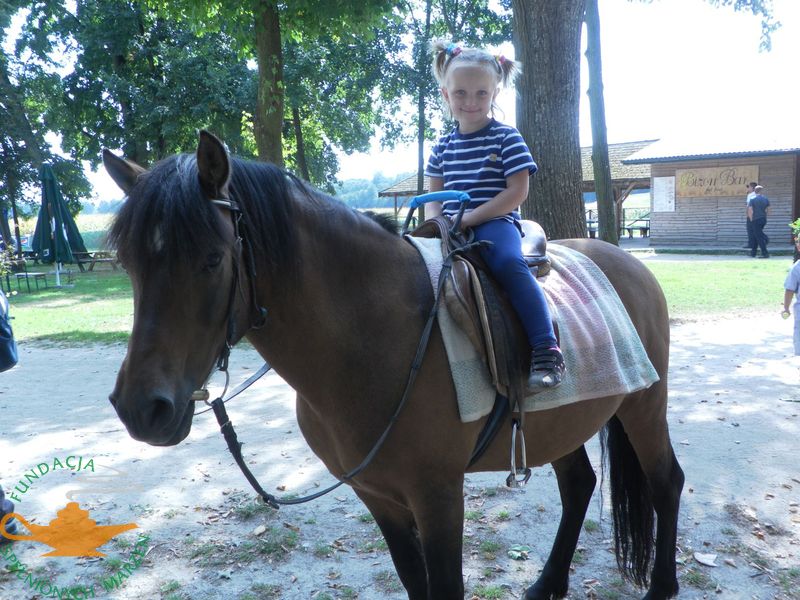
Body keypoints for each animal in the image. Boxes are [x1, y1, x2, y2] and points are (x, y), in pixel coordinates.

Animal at [103, 132, 684, 600]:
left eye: (212, 259)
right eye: (129, 263)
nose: (141, 408)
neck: (374, 337)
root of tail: (629, 263)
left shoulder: (439, 497)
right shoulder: (378, 496)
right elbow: (414, 582)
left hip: (643, 406)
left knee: (665, 482)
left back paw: (660, 586)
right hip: (561, 423)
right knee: (579, 485)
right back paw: (546, 584)